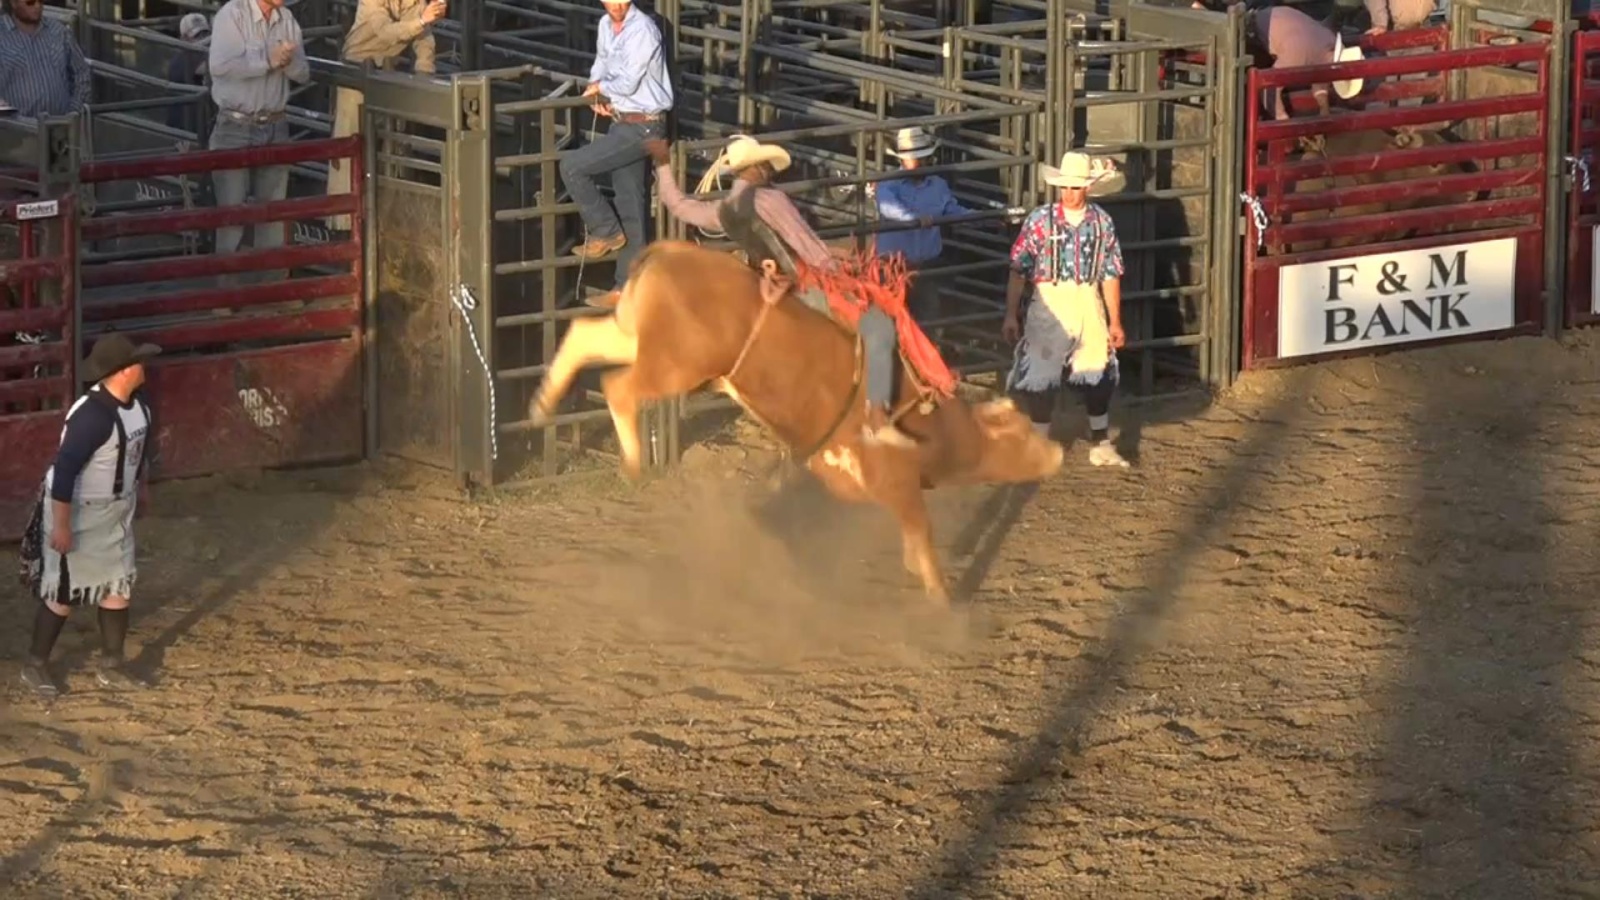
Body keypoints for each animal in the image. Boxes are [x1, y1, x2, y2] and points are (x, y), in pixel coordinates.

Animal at [528, 240, 1066, 607]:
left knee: (584, 333)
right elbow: (922, 534)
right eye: (1020, 433)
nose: (1058, 451)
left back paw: (542, 403)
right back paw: (635, 462)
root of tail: (668, 251)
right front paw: (942, 599)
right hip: (674, 364)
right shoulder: (896, 482)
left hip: (638, 336)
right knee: (618, 387)